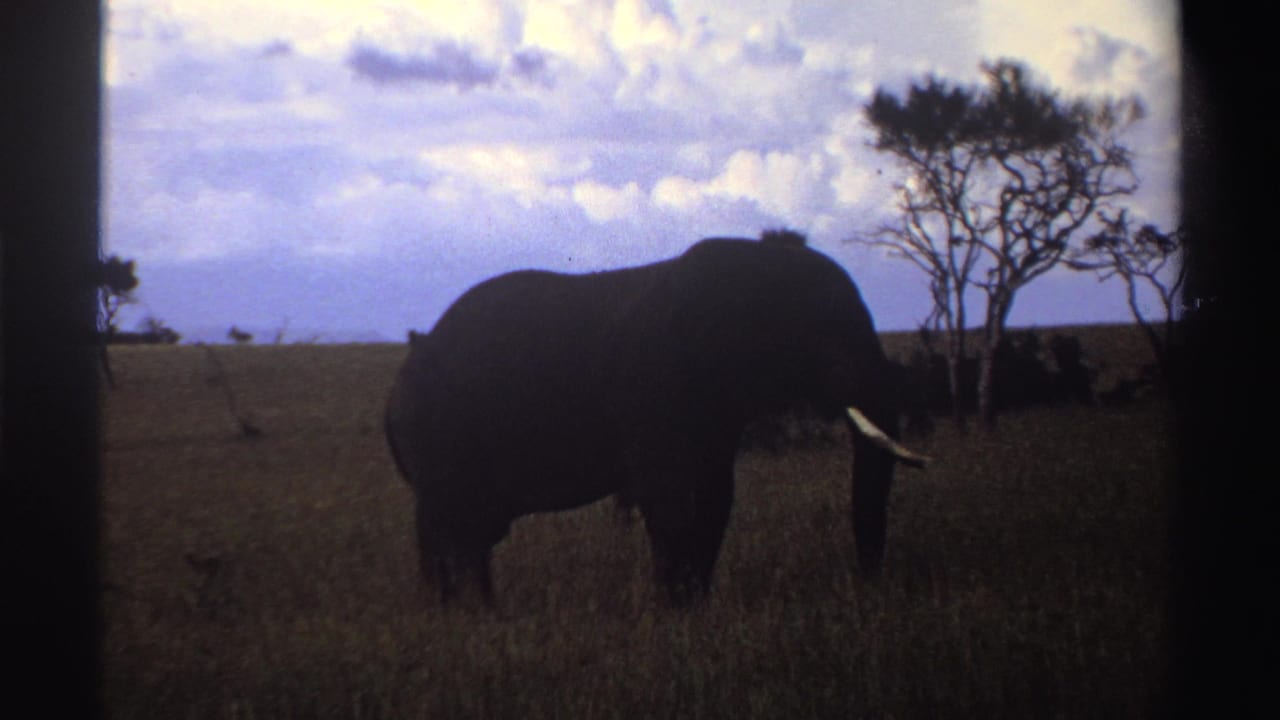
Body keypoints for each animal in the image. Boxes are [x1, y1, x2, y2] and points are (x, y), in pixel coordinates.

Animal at [384, 231, 927, 606]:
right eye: (825, 335)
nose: (869, 586)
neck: (751, 264)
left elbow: (715, 495)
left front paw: (696, 608)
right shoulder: (656, 386)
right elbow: (672, 497)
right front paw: (677, 612)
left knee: (470, 531)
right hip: (439, 436)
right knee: (451, 527)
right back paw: (463, 617)